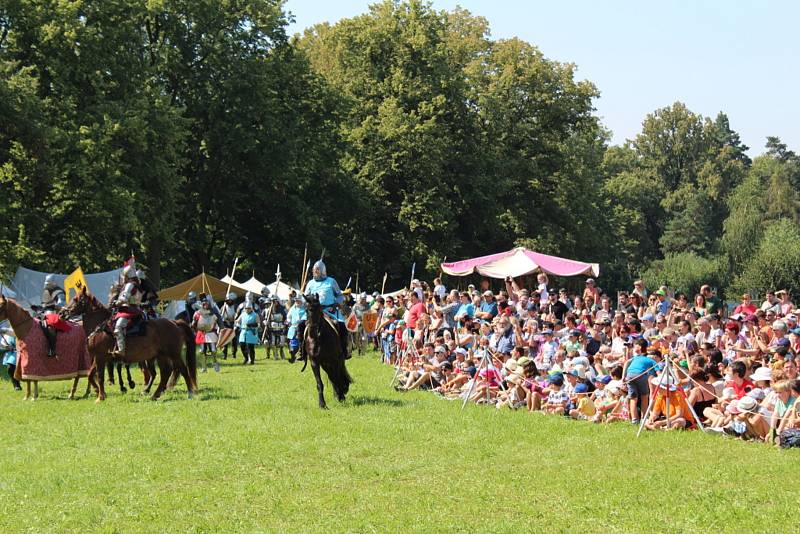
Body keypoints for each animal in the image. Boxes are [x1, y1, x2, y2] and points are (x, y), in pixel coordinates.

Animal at [63, 288, 198, 402]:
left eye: (76, 299)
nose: (63, 313)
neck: (99, 326)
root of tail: (174, 322)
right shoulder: (99, 358)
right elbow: (90, 375)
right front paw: (99, 392)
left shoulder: (100, 357)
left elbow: (100, 377)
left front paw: (100, 397)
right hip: (161, 356)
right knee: (165, 373)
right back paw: (154, 395)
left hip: (173, 354)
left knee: (182, 369)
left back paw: (190, 393)